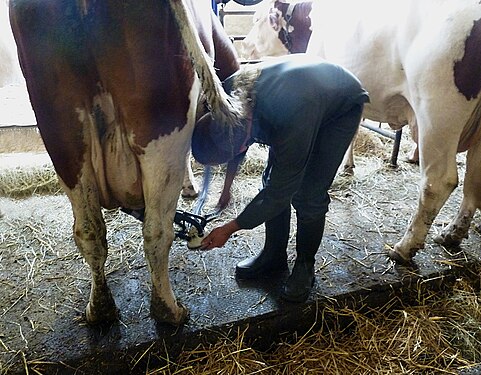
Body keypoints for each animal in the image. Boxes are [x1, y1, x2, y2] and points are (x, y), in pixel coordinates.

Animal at [10, 0, 244, 324]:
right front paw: (190, 186)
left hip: (61, 133)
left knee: (88, 230)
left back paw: (100, 309)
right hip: (161, 129)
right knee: (157, 231)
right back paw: (169, 310)